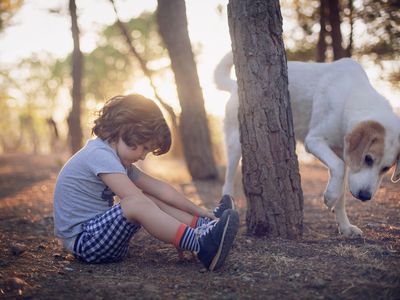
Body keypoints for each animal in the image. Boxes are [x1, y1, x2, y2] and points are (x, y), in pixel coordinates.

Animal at [216, 53, 400, 237]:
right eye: (367, 159)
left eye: (386, 168)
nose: (364, 196)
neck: (350, 96)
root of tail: (234, 85)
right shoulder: (314, 141)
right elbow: (339, 168)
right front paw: (330, 197)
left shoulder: (342, 154)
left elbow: (341, 191)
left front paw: (345, 226)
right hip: (235, 145)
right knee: (228, 180)